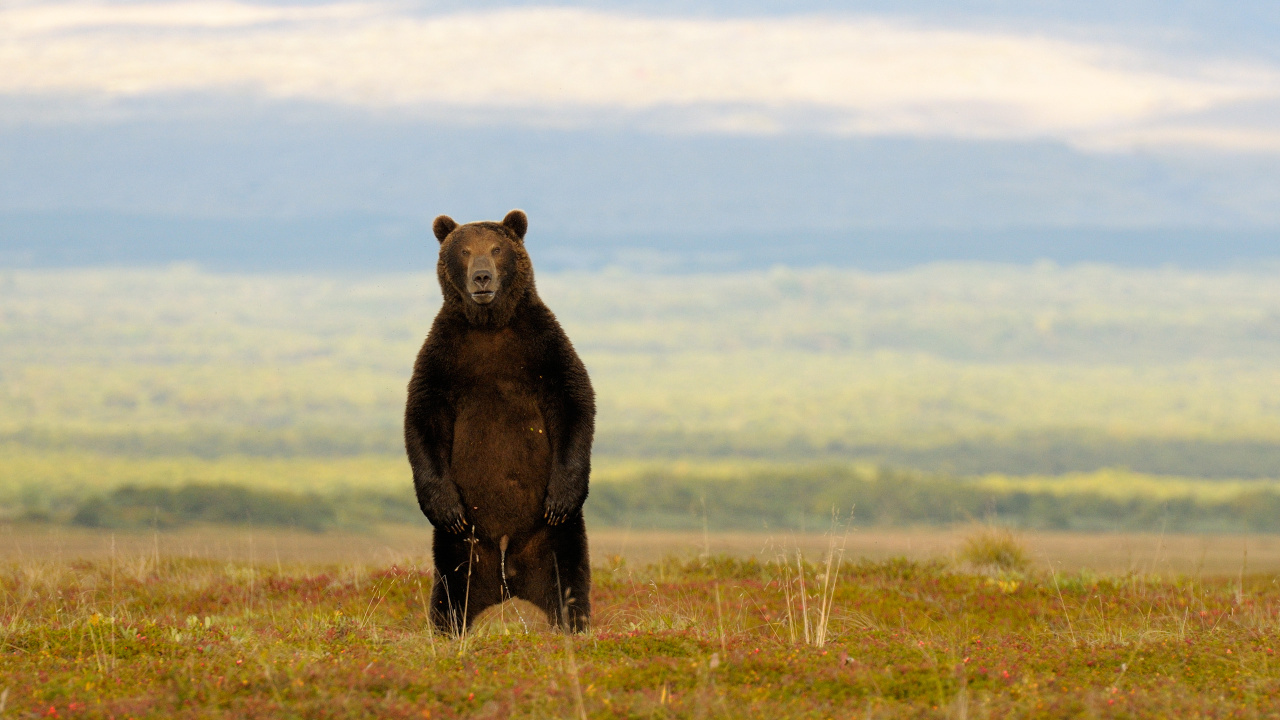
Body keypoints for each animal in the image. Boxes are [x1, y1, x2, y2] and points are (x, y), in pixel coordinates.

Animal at [404, 209, 595, 634]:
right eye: (463, 250)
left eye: (495, 248)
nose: (481, 277)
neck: (490, 324)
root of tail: (510, 573)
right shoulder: (444, 356)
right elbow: (423, 418)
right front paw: (443, 506)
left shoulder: (542, 345)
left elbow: (575, 401)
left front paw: (562, 496)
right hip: (466, 545)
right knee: (452, 586)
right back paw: (447, 627)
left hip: (552, 538)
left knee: (568, 576)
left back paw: (573, 623)